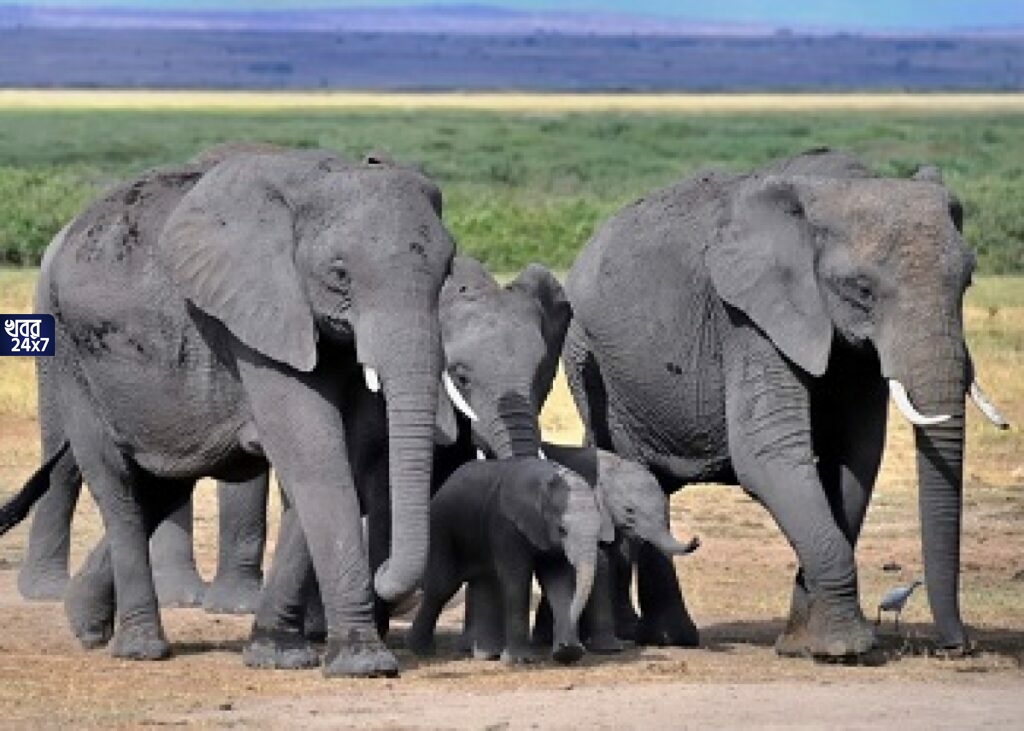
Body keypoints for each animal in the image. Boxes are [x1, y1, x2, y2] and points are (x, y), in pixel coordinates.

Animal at [0, 145, 459, 678]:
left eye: (447, 273)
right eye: (339, 274)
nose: (388, 579)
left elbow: (347, 457)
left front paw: (277, 654)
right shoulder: (256, 322)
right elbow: (316, 457)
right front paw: (364, 664)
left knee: (162, 485)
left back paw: (85, 624)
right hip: (72, 357)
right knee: (117, 488)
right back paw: (140, 647)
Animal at [407, 458, 608, 664]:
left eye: (599, 527)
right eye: (562, 530)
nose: (571, 645)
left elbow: (559, 581)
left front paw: (568, 653)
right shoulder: (505, 525)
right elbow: (516, 579)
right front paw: (519, 660)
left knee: (487, 582)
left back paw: (487, 655)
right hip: (440, 527)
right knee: (443, 586)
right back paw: (422, 650)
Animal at [561, 148, 1008, 658]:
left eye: (967, 282)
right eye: (862, 289)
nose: (958, 646)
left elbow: (853, 462)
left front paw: (804, 645)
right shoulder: (748, 319)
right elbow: (769, 457)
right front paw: (844, 650)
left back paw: (662, 636)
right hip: (589, 360)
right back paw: (658, 638)